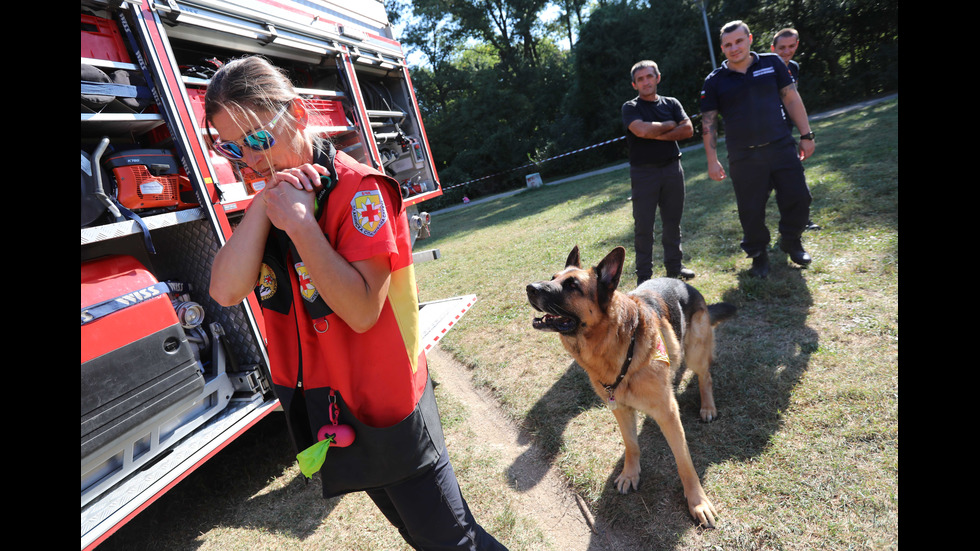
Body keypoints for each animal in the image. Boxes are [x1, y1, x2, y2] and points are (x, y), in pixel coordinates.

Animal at [528, 248, 736, 528]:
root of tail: (684, 284)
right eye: (553, 277)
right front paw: (630, 474)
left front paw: (697, 502)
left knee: (705, 377)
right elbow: (631, 445)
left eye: (572, 285)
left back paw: (707, 406)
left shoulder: (669, 414)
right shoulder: (621, 409)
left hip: (695, 353)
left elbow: (684, 462)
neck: (618, 346)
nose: (530, 288)